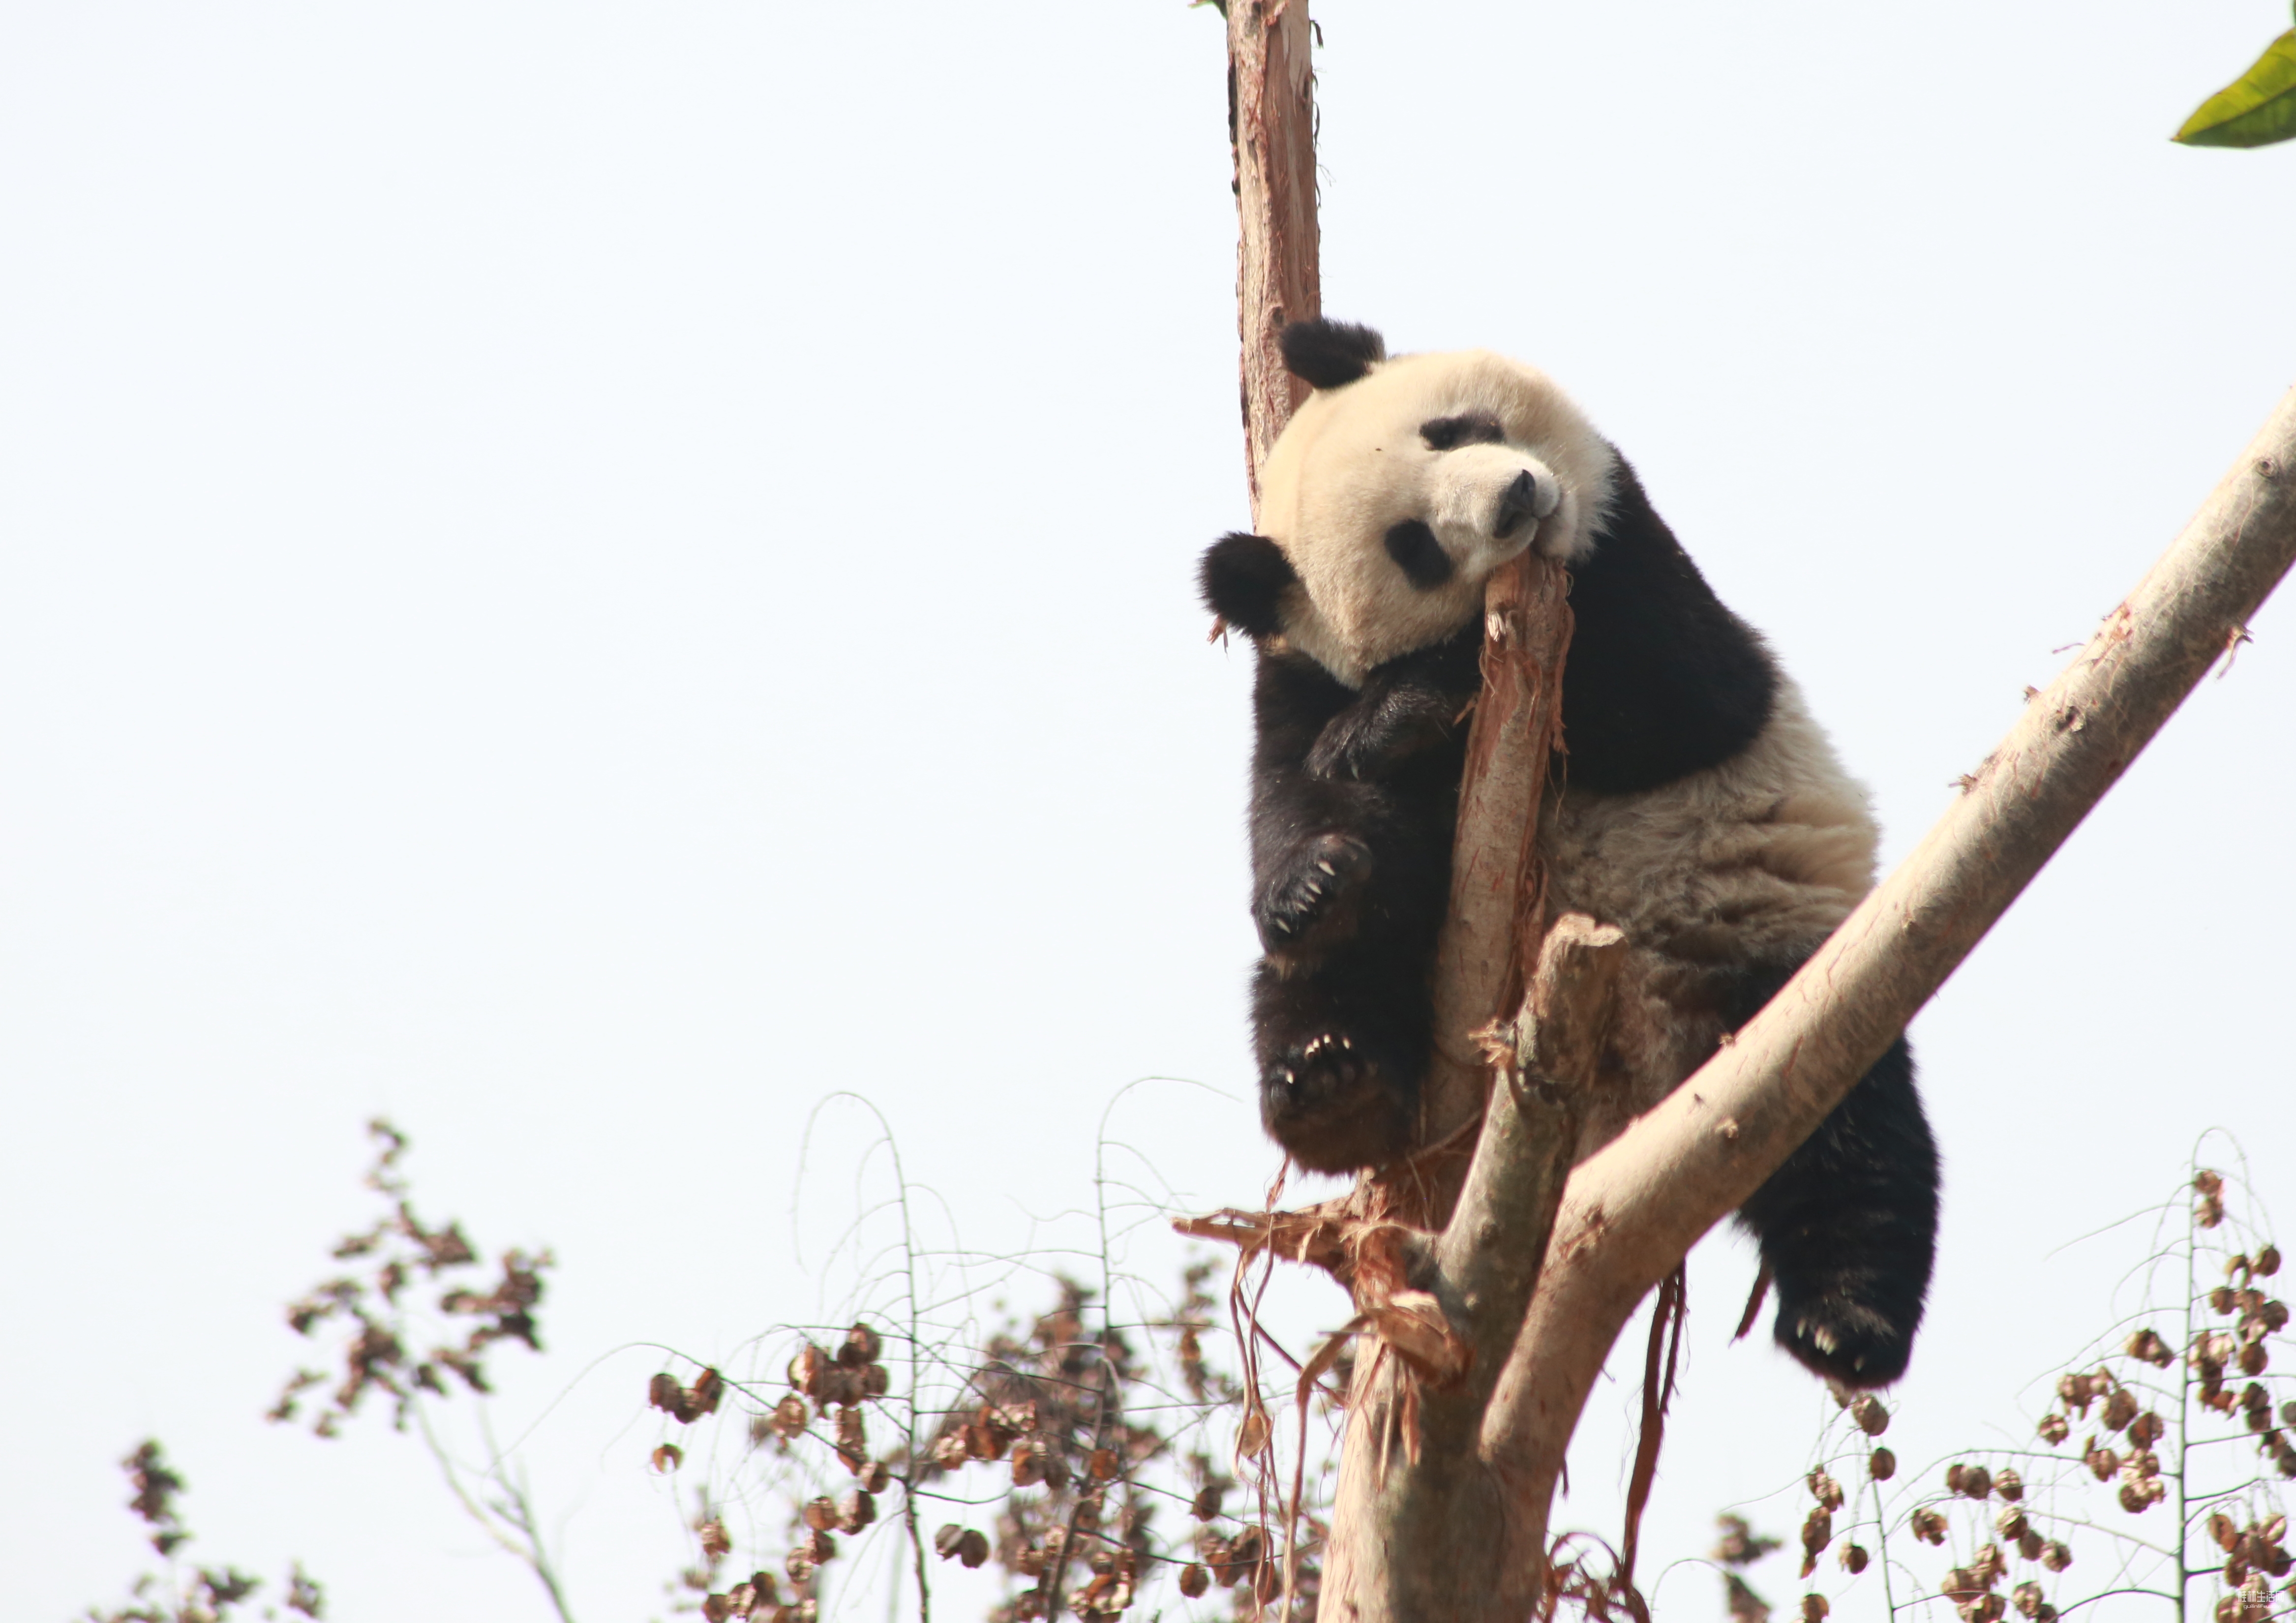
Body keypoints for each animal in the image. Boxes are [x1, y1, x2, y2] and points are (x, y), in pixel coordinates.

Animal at [1197, 318, 1938, 1387]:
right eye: (1413, 547)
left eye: (1455, 428)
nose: (1516, 497)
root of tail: (1634, 1078)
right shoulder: (1295, 678)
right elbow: (1303, 808)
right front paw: (1317, 879)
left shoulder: (1628, 545)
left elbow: (1675, 696)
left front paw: (1401, 710)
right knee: (1315, 990)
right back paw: (1331, 1088)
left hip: (1769, 949)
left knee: (1851, 1131)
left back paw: (1847, 1323)